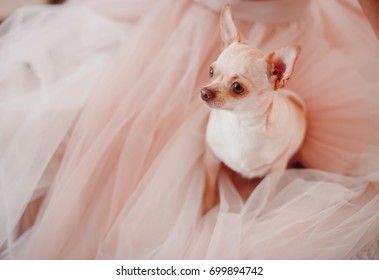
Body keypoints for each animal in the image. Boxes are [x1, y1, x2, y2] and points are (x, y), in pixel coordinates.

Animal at [202, 4, 306, 212]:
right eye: (211, 71)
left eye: (237, 87)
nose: (204, 92)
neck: (241, 124)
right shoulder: (211, 158)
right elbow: (209, 190)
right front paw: (205, 212)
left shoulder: (275, 171)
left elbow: (264, 198)